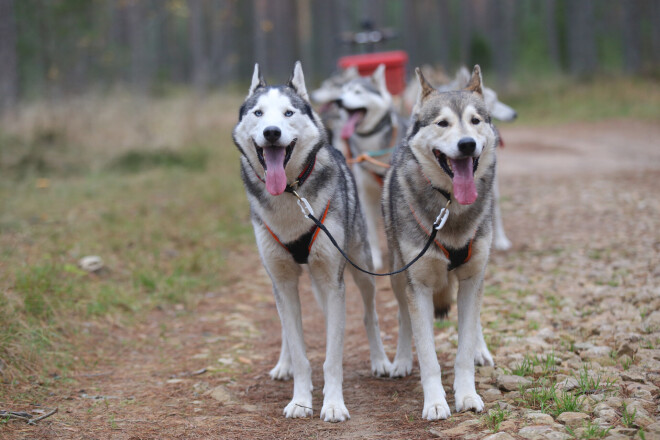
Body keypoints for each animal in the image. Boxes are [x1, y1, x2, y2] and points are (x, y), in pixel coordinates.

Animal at [233, 60, 392, 422]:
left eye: (289, 113)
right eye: (258, 113)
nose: (272, 132)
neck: (290, 194)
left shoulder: (334, 282)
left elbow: (332, 357)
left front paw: (333, 404)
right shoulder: (282, 281)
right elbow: (298, 347)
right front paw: (300, 400)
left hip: (358, 268)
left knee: (369, 315)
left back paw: (380, 361)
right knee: (286, 327)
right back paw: (284, 364)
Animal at [340, 65, 408, 270]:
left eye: (357, 92)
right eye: (343, 91)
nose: (339, 101)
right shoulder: (366, 197)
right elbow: (371, 232)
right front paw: (376, 260)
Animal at [382, 65, 496, 420]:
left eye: (475, 120)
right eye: (442, 123)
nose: (467, 144)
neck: (449, 207)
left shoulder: (473, 278)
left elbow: (464, 347)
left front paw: (468, 395)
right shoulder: (416, 285)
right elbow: (428, 357)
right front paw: (434, 403)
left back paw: (481, 350)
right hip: (396, 274)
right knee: (403, 319)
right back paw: (401, 361)